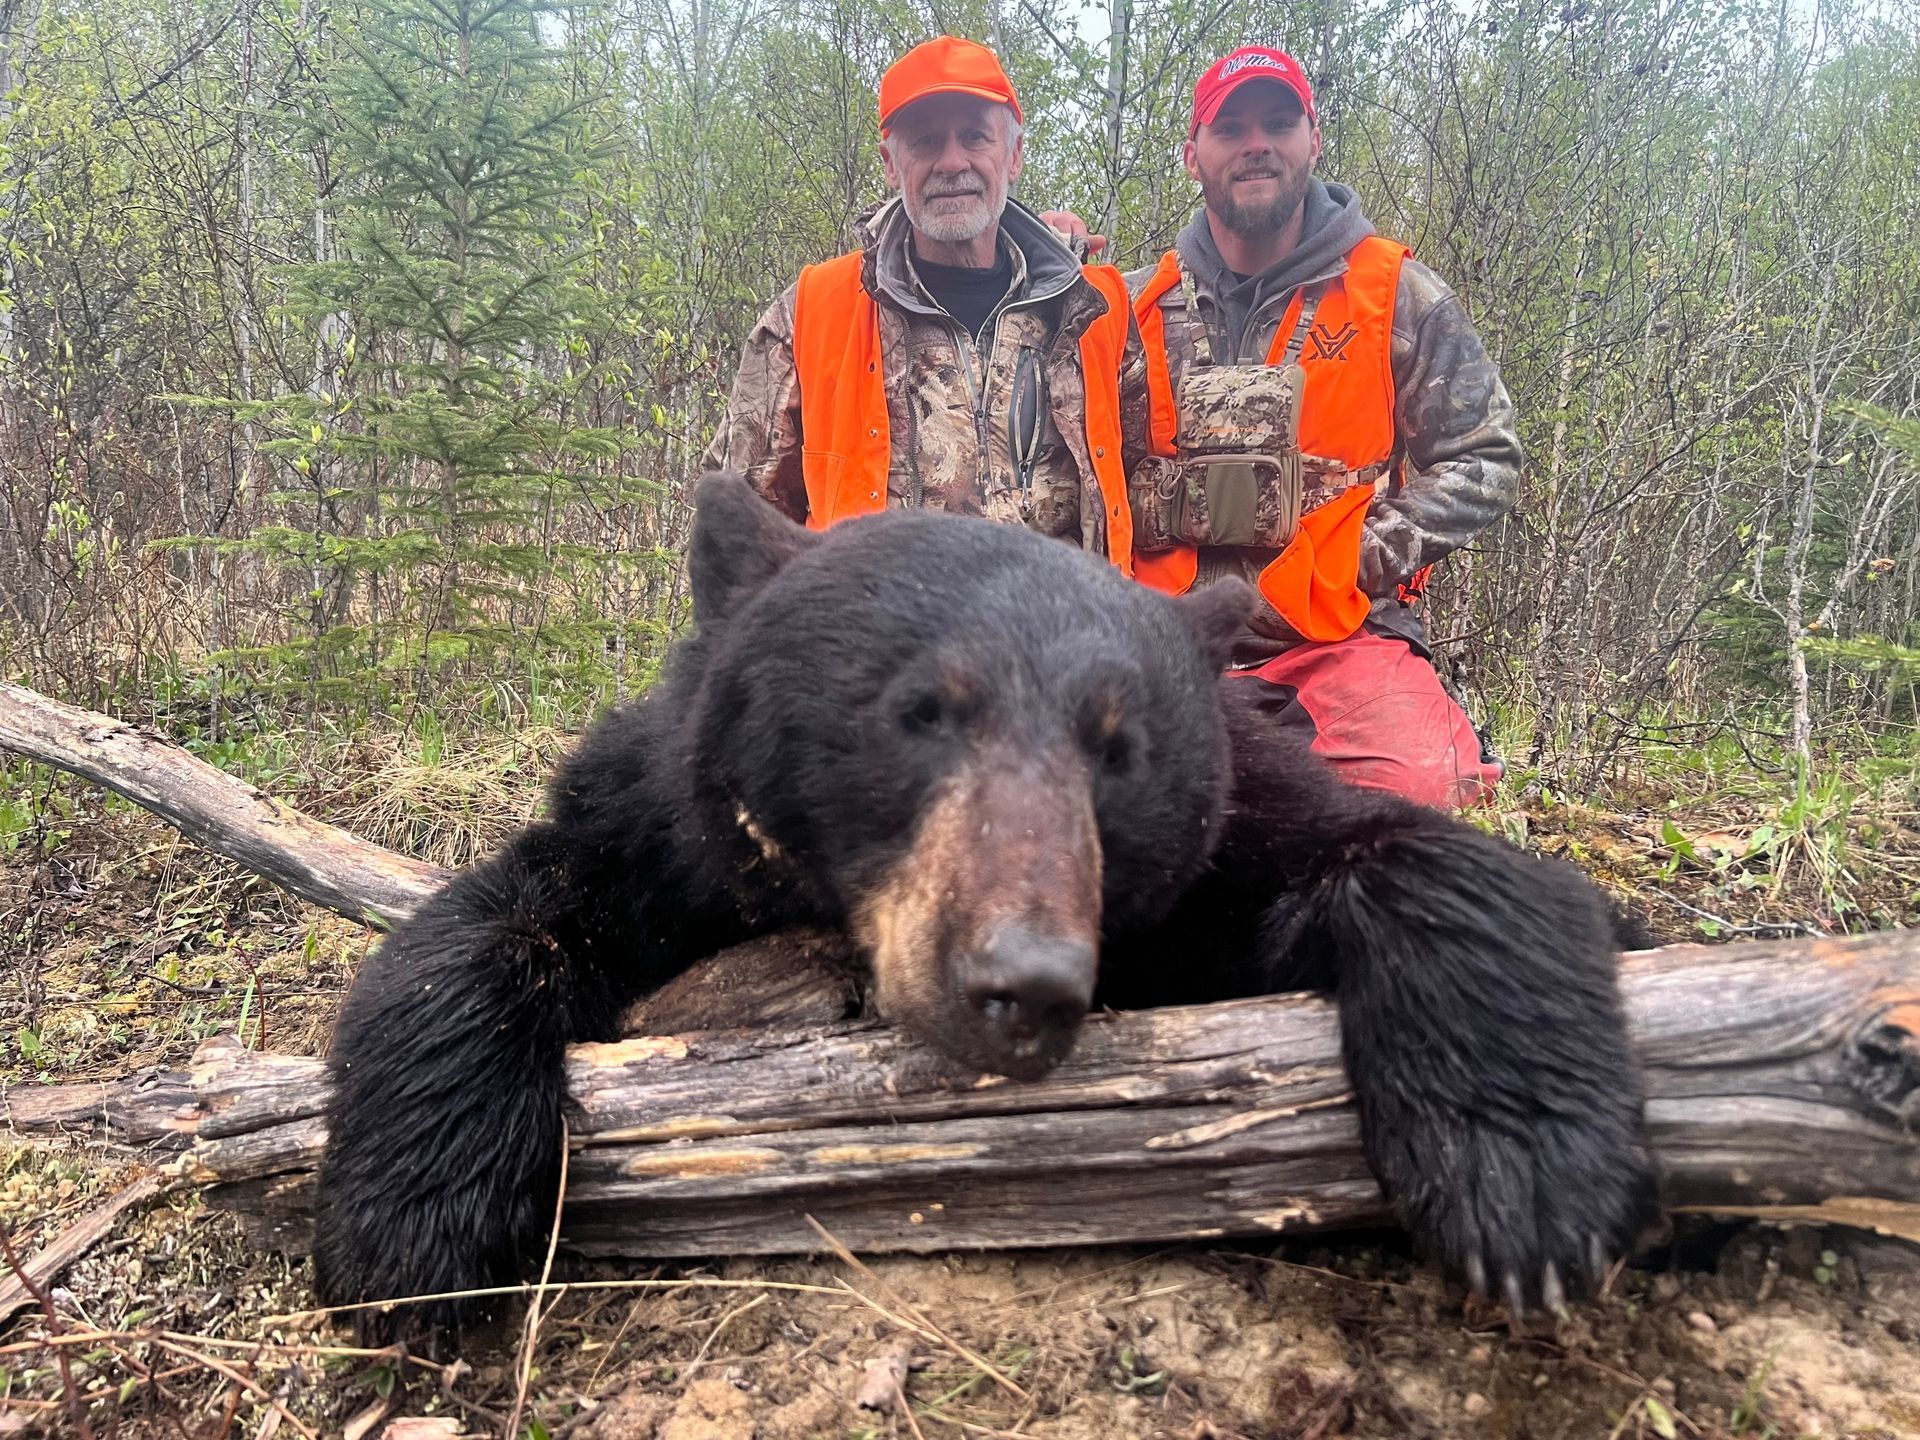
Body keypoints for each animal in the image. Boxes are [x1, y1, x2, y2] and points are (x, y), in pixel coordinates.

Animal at [313, 473, 1656, 1339]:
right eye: (923, 709)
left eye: (1119, 748)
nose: (1027, 984)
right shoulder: (658, 835)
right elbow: (489, 923)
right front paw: (413, 1223)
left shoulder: (1236, 832)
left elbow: (1435, 863)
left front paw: (1526, 1177)